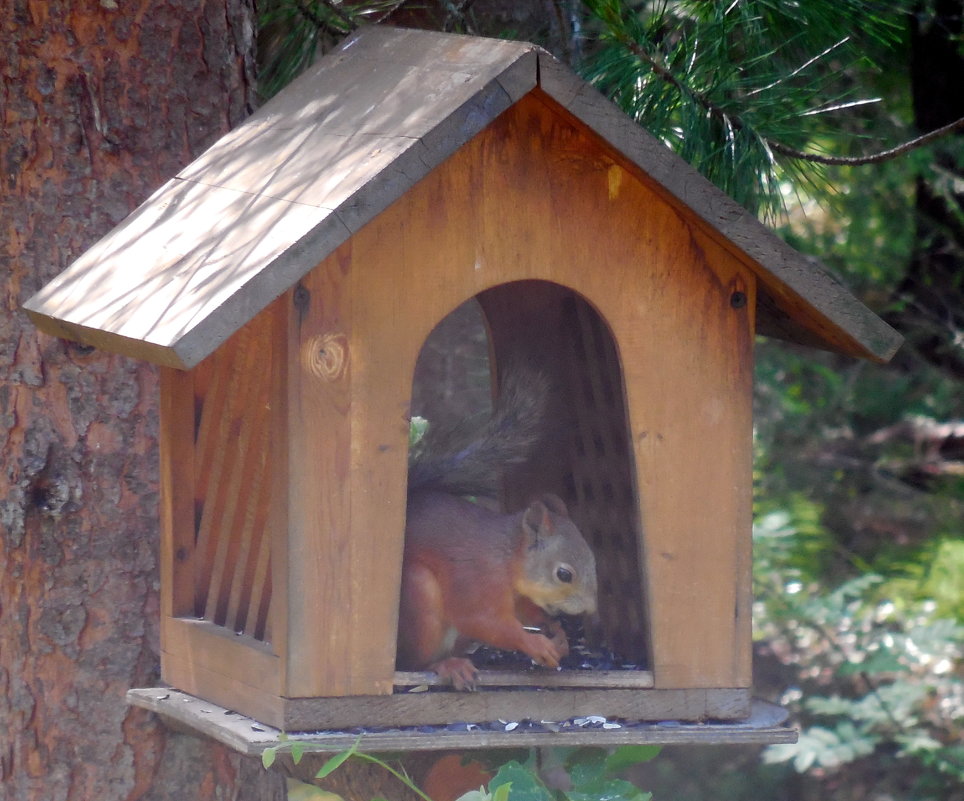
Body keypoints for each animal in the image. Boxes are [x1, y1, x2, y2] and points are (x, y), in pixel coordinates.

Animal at [398, 372, 596, 692]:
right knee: (413, 663)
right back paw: (445, 666)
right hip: (418, 595)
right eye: (564, 574)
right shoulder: (478, 577)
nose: (590, 609)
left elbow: (523, 612)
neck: (508, 558)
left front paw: (555, 631)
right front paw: (535, 644)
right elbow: (482, 620)